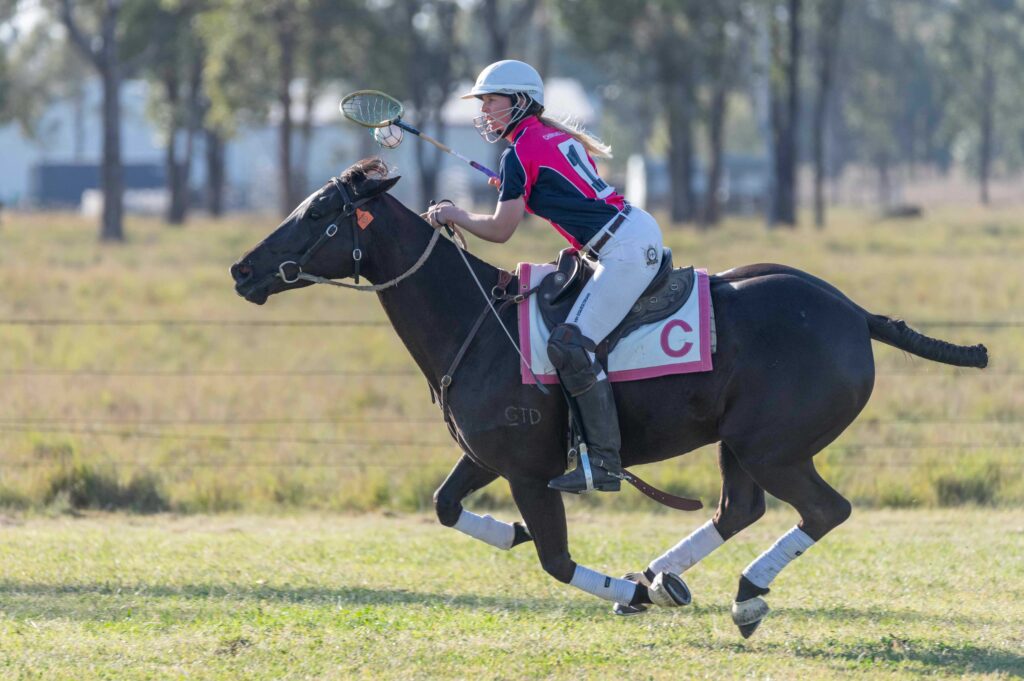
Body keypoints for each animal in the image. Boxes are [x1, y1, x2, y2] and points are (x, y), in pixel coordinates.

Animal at [230, 161, 983, 634]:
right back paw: (666, 576)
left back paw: (738, 594)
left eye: (320, 212)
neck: (477, 321)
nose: (242, 270)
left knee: (824, 509)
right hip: (740, 442)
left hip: (776, 446)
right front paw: (516, 533)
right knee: (739, 508)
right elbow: (445, 506)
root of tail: (856, 314)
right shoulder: (489, 456)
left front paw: (622, 590)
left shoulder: (530, 471)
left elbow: (556, 560)